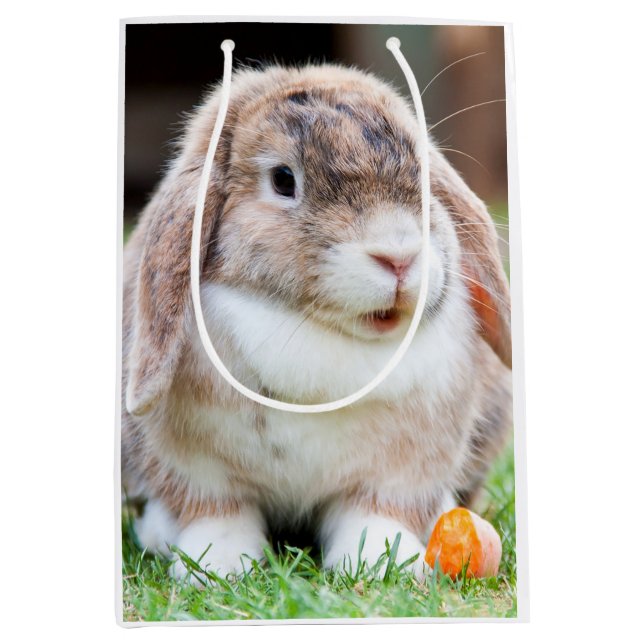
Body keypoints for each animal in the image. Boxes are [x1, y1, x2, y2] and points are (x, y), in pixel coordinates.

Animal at [121, 63, 513, 582]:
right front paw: (217, 566)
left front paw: (382, 564)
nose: (398, 256)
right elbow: (218, 514)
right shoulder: (199, 470)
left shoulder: (399, 473)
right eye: (283, 179)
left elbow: (376, 514)